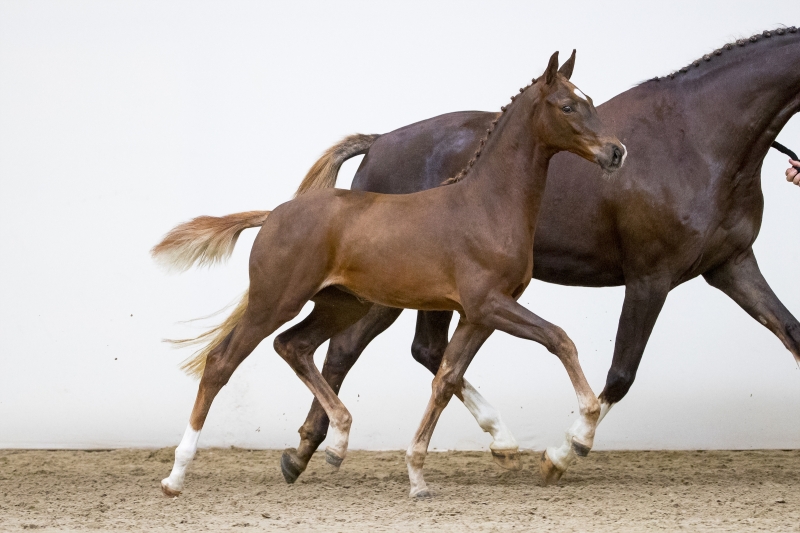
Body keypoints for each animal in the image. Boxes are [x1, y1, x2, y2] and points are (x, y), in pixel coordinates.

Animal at [155, 52, 624, 496]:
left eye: (591, 101)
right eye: (568, 105)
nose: (617, 151)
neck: (487, 205)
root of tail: (272, 215)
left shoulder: (479, 314)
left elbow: (445, 379)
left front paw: (419, 475)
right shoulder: (489, 303)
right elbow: (559, 339)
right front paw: (581, 435)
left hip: (341, 306)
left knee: (295, 346)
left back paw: (337, 439)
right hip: (275, 302)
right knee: (222, 363)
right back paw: (176, 476)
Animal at [247, 26, 796, 482]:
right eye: (569, 108)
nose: (616, 154)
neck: (697, 138)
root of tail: (379, 142)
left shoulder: (732, 266)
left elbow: (790, 333)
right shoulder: (649, 278)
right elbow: (620, 374)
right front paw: (563, 453)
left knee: (418, 351)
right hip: (390, 290)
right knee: (350, 348)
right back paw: (317, 450)